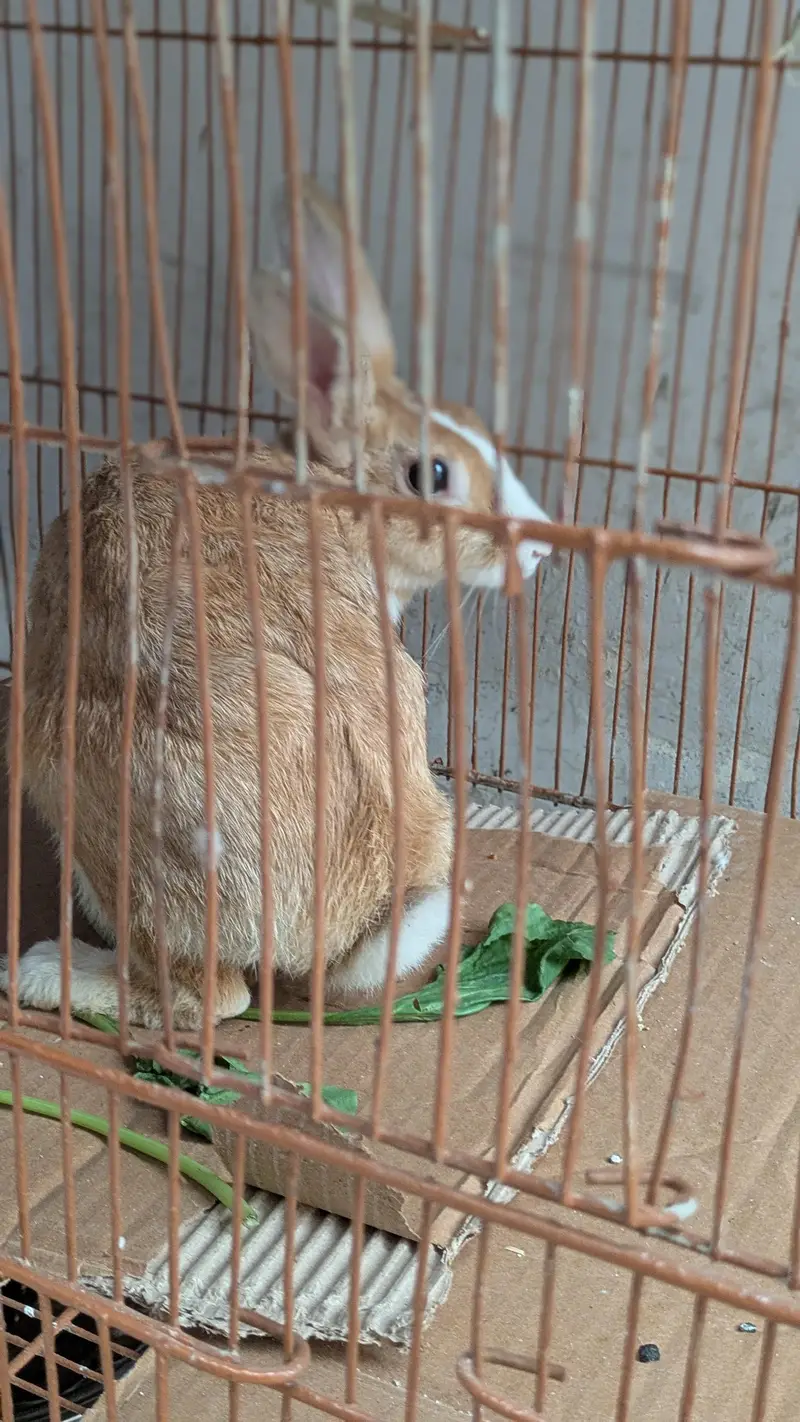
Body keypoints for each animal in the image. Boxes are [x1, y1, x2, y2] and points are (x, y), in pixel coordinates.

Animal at [0, 176, 552, 1029]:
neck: (335, 497)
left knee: (210, 998)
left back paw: (42, 971)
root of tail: (345, 924)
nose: (537, 547)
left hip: (98, 801)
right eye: (435, 473)